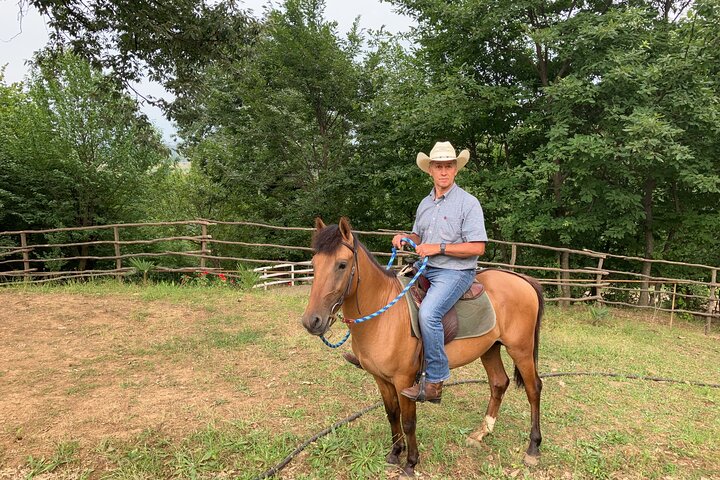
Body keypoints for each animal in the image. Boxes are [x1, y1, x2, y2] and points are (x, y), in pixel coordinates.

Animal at [300, 217, 544, 477]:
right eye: (314, 264)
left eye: (342, 265)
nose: (312, 321)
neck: (384, 315)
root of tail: (522, 279)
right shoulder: (380, 378)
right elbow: (392, 414)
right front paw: (394, 454)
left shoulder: (404, 380)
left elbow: (408, 422)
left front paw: (410, 463)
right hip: (490, 348)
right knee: (499, 383)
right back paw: (481, 433)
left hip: (520, 349)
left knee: (533, 389)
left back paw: (533, 448)